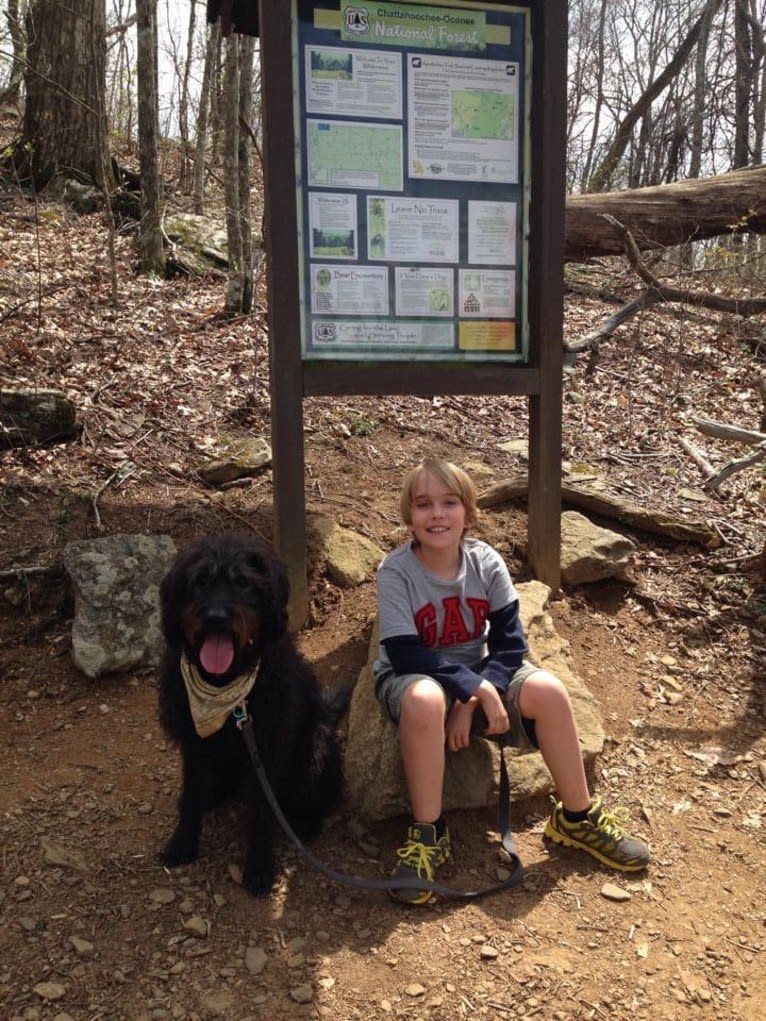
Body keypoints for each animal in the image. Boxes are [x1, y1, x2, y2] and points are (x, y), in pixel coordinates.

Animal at [157, 535, 343, 894]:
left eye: (243, 582)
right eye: (200, 581)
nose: (216, 617)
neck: (225, 687)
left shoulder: (267, 750)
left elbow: (262, 812)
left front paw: (258, 867)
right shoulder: (193, 743)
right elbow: (190, 795)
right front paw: (183, 843)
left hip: (316, 749)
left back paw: (306, 823)